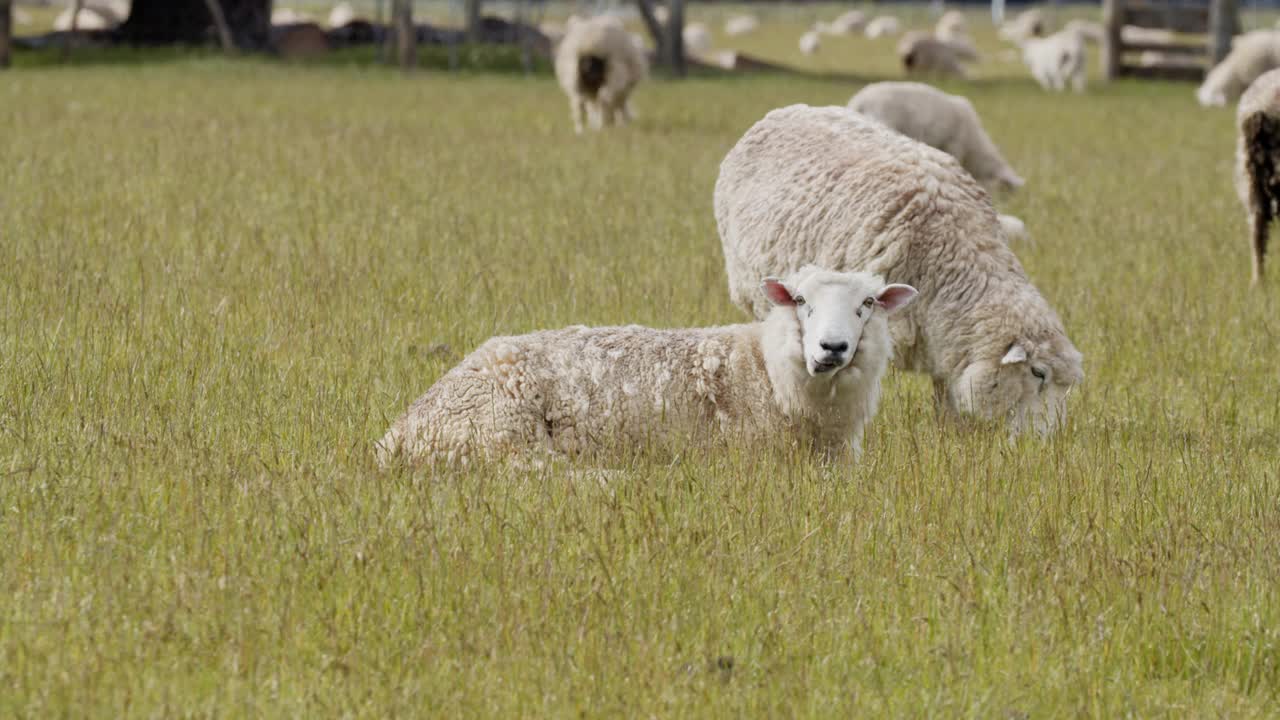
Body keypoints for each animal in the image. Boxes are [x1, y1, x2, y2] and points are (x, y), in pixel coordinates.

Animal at [373, 266, 916, 461]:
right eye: (801, 301)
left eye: (867, 303)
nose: (832, 348)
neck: (765, 369)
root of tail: (398, 434)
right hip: (497, 433)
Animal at [716, 103, 1085, 435]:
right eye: (1038, 373)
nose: (1044, 442)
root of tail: (780, 112)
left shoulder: (946, 337)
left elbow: (945, 395)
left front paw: (950, 433)